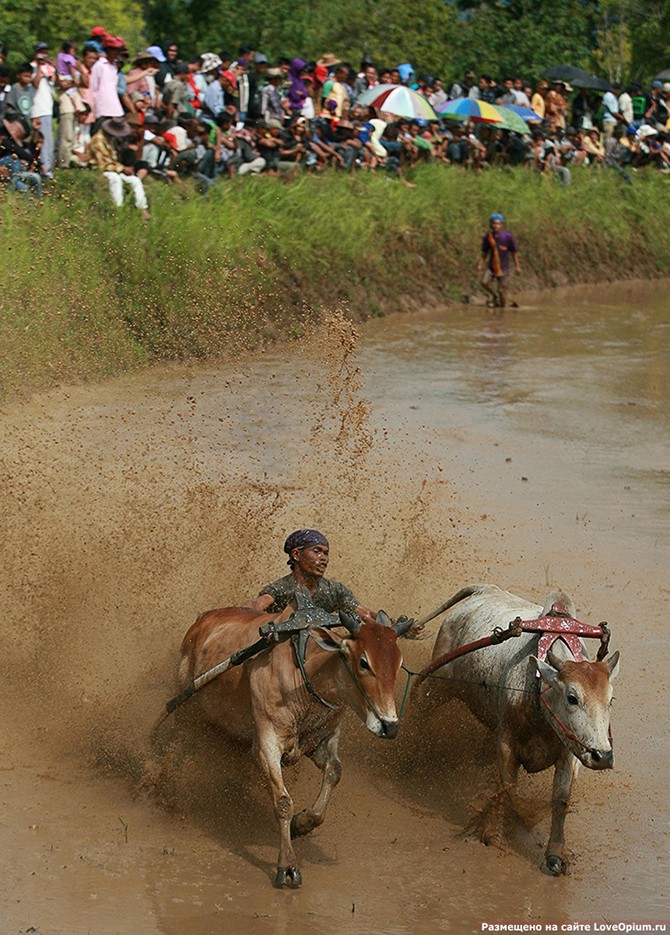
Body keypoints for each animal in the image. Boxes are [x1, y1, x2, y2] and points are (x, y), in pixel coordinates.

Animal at [176, 604, 412, 888]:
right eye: (364, 662)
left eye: (398, 663)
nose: (390, 726)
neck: (304, 673)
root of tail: (202, 620)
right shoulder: (266, 745)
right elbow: (283, 802)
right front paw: (287, 865)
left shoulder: (323, 740)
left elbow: (334, 773)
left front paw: (302, 823)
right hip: (183, 708)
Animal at [422, 580, 624, 872]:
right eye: (572, 697)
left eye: (611, 700)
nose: (602, 756)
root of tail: (484, 589)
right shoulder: (507, 743)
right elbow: (508, 790)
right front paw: (493, 833)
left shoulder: (569, 752)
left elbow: (560, 799)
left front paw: (555, 855)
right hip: (437, 685)